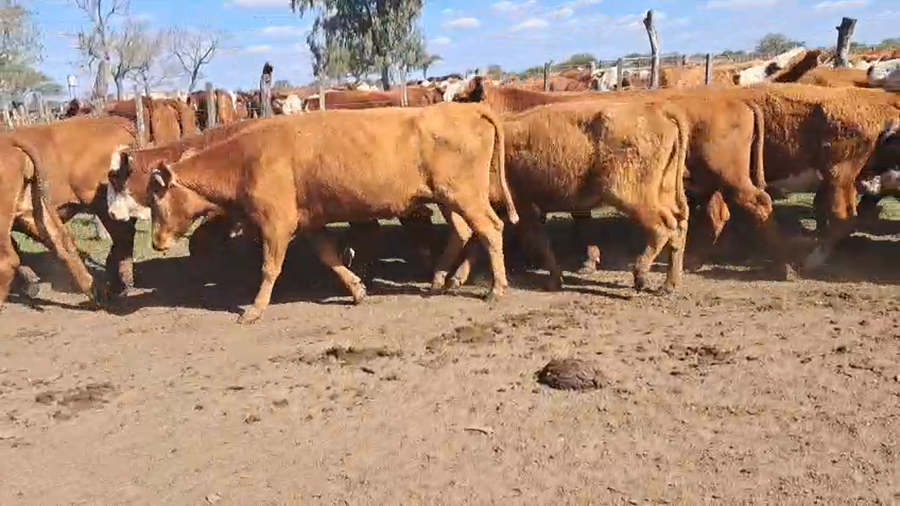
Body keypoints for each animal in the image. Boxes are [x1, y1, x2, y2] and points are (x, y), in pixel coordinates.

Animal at [129, 103, 518, 324]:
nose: (157, 242)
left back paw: (496, 288)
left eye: (156, 198)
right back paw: (443, 279)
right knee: (467, 232)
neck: (246, 160)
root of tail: (467, 109)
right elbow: (329, 257)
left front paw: (254, 309)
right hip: (452, 198)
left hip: (463, 195)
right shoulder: (308, 224)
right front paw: (357, 289)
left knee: (491, 229)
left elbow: (269, 268)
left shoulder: (275, 224)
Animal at [434, 100, 690, 294]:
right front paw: (457, 278)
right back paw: (670, 284)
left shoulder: (524, 207)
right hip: (664, 192)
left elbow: (538, 242)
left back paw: (640, 275)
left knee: (663, 227)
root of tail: (655, 109)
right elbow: (481, 241)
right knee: (679, 227)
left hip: (629, 195)